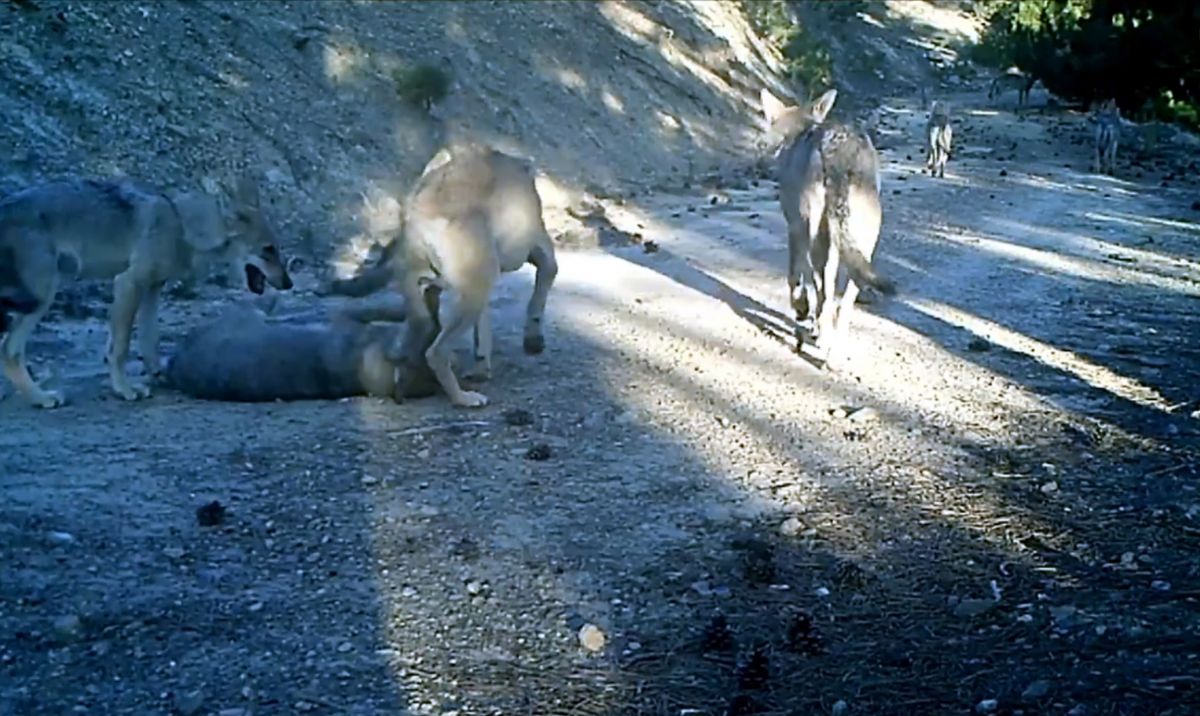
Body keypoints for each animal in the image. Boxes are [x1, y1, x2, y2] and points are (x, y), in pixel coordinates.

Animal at [0, 175, 292, 407]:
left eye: (277, 248)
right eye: (268, 250)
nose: (289, 284)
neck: (182, 225)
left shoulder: (153, 288)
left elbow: (149, 340)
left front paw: (158, 373)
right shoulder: (129, 283)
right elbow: (120, 348)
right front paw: (125, 390)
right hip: (43, 296)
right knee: (10, 350)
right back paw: (40, 398)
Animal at [763, 86, 897, 364]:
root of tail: (839, 149)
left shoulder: (795, 229)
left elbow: (796, 279)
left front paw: (802, 310)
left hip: (817, 238)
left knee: (825, 293)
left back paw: (824, 341)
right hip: (861, 245)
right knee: (845, 299)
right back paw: (835, 354)